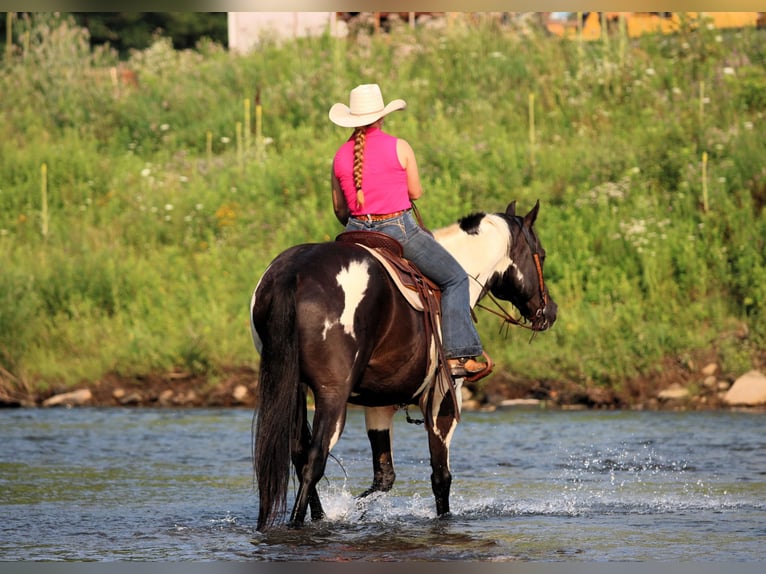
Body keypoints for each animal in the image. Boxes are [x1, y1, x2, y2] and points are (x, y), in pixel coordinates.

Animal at [249, 200, 557, 531]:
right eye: (541, 254)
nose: (549, 311)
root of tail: (293, 273)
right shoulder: (442, 400)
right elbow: (441, 477)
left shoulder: (379, 404)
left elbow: (383, 477)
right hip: (332, 394)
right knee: (313, 460)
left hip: (292, 388)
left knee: (298, 453)